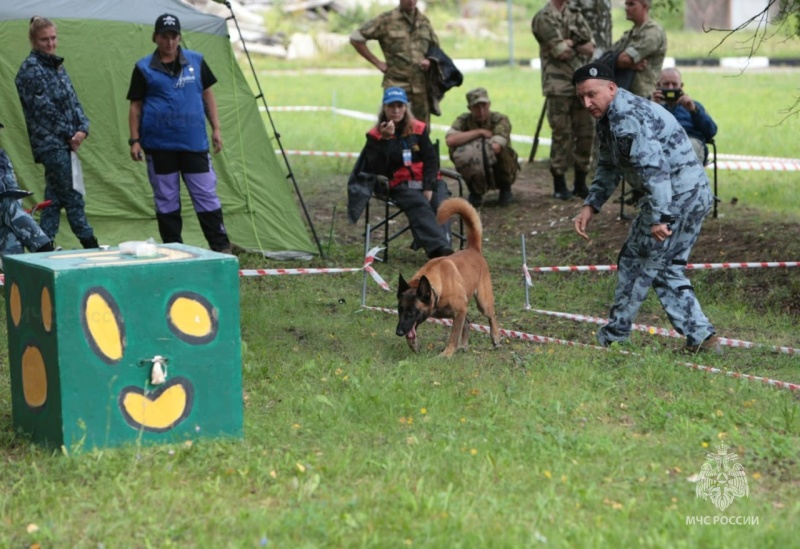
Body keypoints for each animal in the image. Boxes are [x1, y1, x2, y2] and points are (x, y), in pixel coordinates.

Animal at [396, 197, 500, 356]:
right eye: (399, 309)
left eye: (412, 311)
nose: (399, 332)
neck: (438, 286)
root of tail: (473, 249)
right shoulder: (458, 312)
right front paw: (413, 345)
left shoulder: (460, 311)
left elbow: (454, 335)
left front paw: (447, 353)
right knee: (468, 324)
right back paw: (464, 346)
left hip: (483, 303)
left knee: (491, 316)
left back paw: (495, 337)